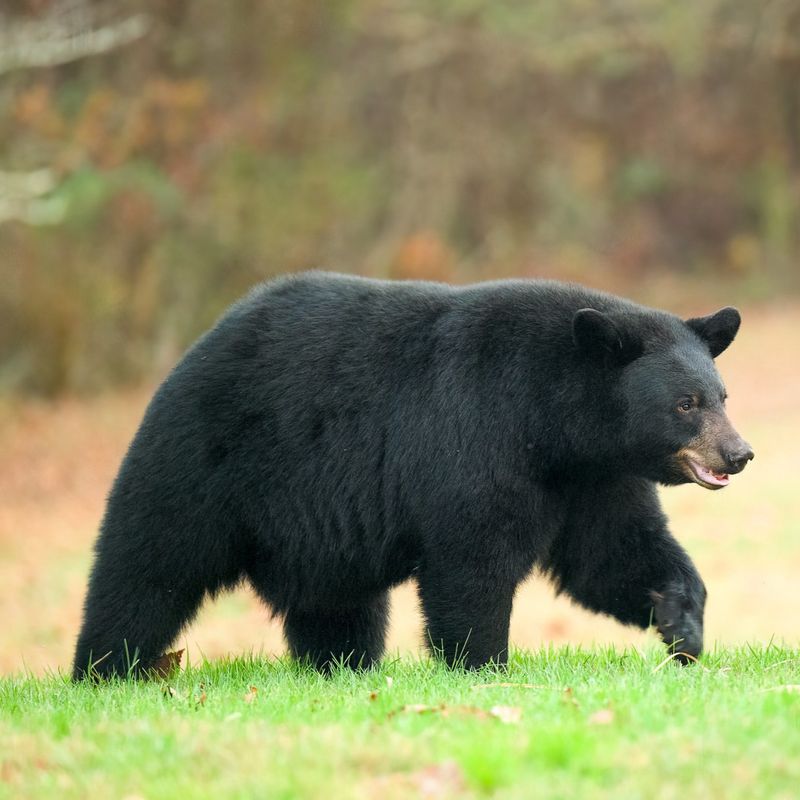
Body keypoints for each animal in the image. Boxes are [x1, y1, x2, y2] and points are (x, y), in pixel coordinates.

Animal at [72, 272, 753, 679]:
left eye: (722, 395)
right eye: (686, 403)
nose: (739, 453)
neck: (553, 422)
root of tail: (199, 346)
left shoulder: (592, 478)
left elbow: (612, 553)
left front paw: (682, 625)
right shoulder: (478, 436)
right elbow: (472, 560)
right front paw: (483, 665)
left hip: (315, 532)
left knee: (337, 605)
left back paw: (341, 667)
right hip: (204, 464)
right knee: (147, 567)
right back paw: (104, 669)